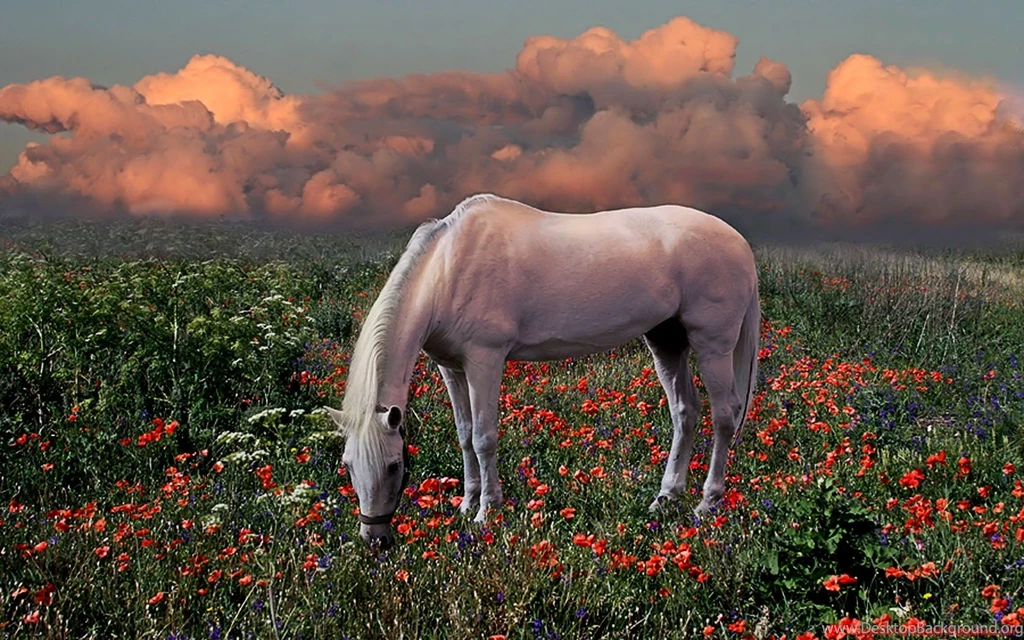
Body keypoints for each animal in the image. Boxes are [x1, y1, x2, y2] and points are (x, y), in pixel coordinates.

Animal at [323, 193, 760, 549]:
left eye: (394, 465)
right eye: (347, 465)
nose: (374, 538)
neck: (448, 269)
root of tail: (739, 243)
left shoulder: (484, 360)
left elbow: (483, 438)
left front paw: (487, 512)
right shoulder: (450, 367)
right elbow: (464, 435)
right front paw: (467, 504)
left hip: (712, 345)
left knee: (724, 417)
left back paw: (707, 504)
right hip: (666, 342)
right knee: (685, 413)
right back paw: (666, 497)